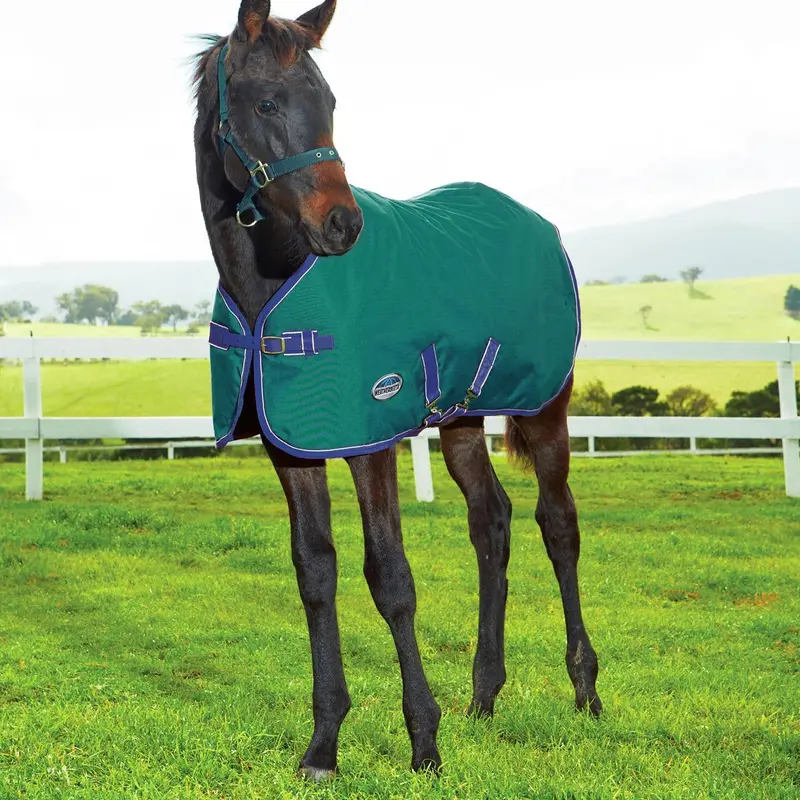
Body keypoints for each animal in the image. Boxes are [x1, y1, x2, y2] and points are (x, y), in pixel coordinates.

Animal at [192, 0, 601, 778]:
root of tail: (536, 222)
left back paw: (586, 690)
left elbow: (389, 578)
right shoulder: (292, 450)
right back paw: (484, 695)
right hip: (464, 418)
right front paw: (323, 746)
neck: (270, 282)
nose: (342, 224)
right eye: (267, 102)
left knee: (557, 524)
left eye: (329, 102)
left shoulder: (369, 441)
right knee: (491, 522)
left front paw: (423, 742)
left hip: (546, 410)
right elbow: (315, 574)